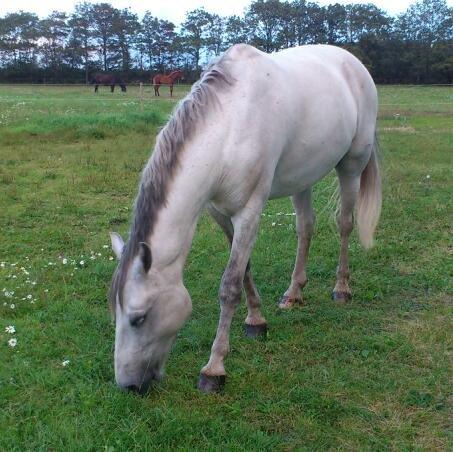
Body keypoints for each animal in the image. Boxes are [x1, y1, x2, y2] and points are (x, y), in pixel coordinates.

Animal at [109, 44, 382, 394]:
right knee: (305, 227)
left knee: (345, 224)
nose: (128, 385)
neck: (230, 128)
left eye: (139, 317)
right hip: (302, 178)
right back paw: (293, 293)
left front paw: (214, 369)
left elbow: (229, 285)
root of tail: (352, 62)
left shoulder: (250, 211)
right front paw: (256, 321)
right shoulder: (219, 212)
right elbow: (244, 268)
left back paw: (341, 289)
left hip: (351, 165)